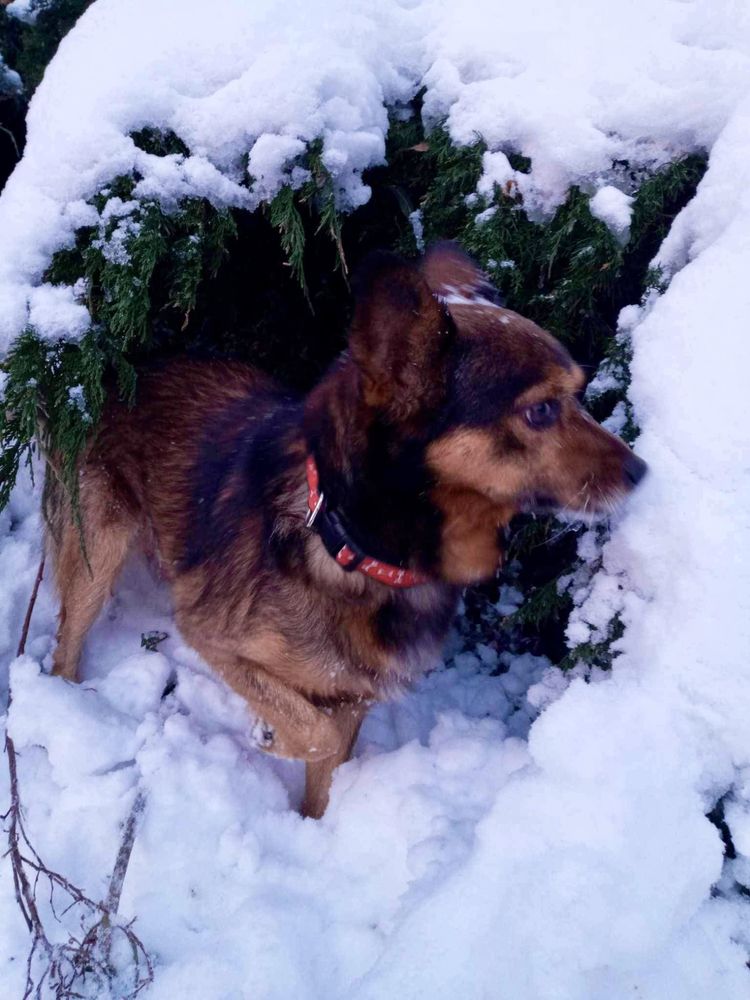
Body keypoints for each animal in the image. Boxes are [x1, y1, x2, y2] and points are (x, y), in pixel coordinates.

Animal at [44, 240, 648, 812]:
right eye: (541, 410)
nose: (642, 471)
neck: (353, 552)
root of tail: (119, 371)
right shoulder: (211, 633)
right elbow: (316, 734)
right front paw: (271, 736)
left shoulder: (354, 694)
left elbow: (327, 774)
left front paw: (308, 826)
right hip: (98, 547)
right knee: (66, 642)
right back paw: (68, 706)